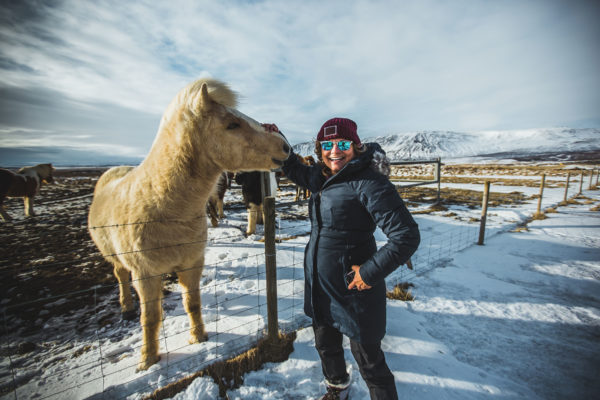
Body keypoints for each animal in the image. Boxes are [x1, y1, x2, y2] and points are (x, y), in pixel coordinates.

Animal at [86, 79, 288, 372]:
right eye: (232, 124)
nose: (285, 146)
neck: (162, 206)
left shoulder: (192, 264)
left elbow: (192, 303)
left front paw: (199, 337)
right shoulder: (145, 274)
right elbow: (150, 319)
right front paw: (148, 361)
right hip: (116, 258)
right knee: (121, 277)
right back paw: (127, 307)